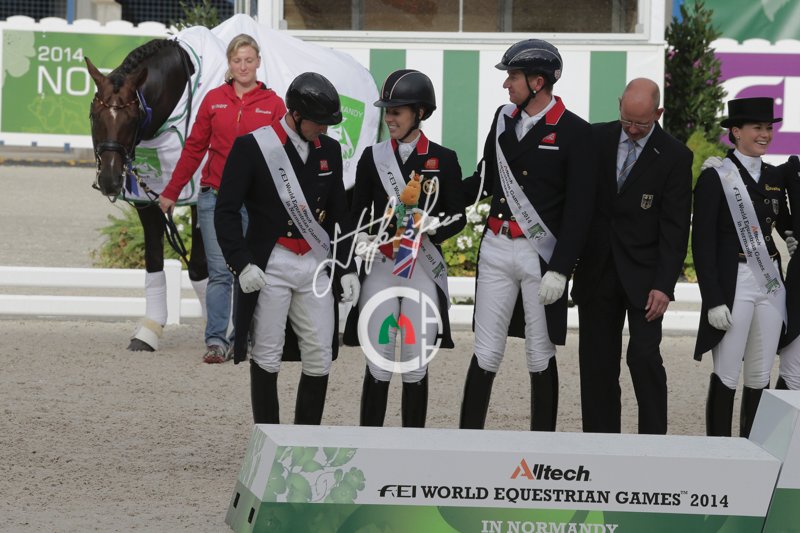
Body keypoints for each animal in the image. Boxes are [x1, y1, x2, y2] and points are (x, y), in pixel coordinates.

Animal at [86, 39, 208, 352]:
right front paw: (148, 331)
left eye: (132, 118)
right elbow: (153, 261)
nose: (110, 180)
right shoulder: (147, 202)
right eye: (95, 116)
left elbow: (199, 268)